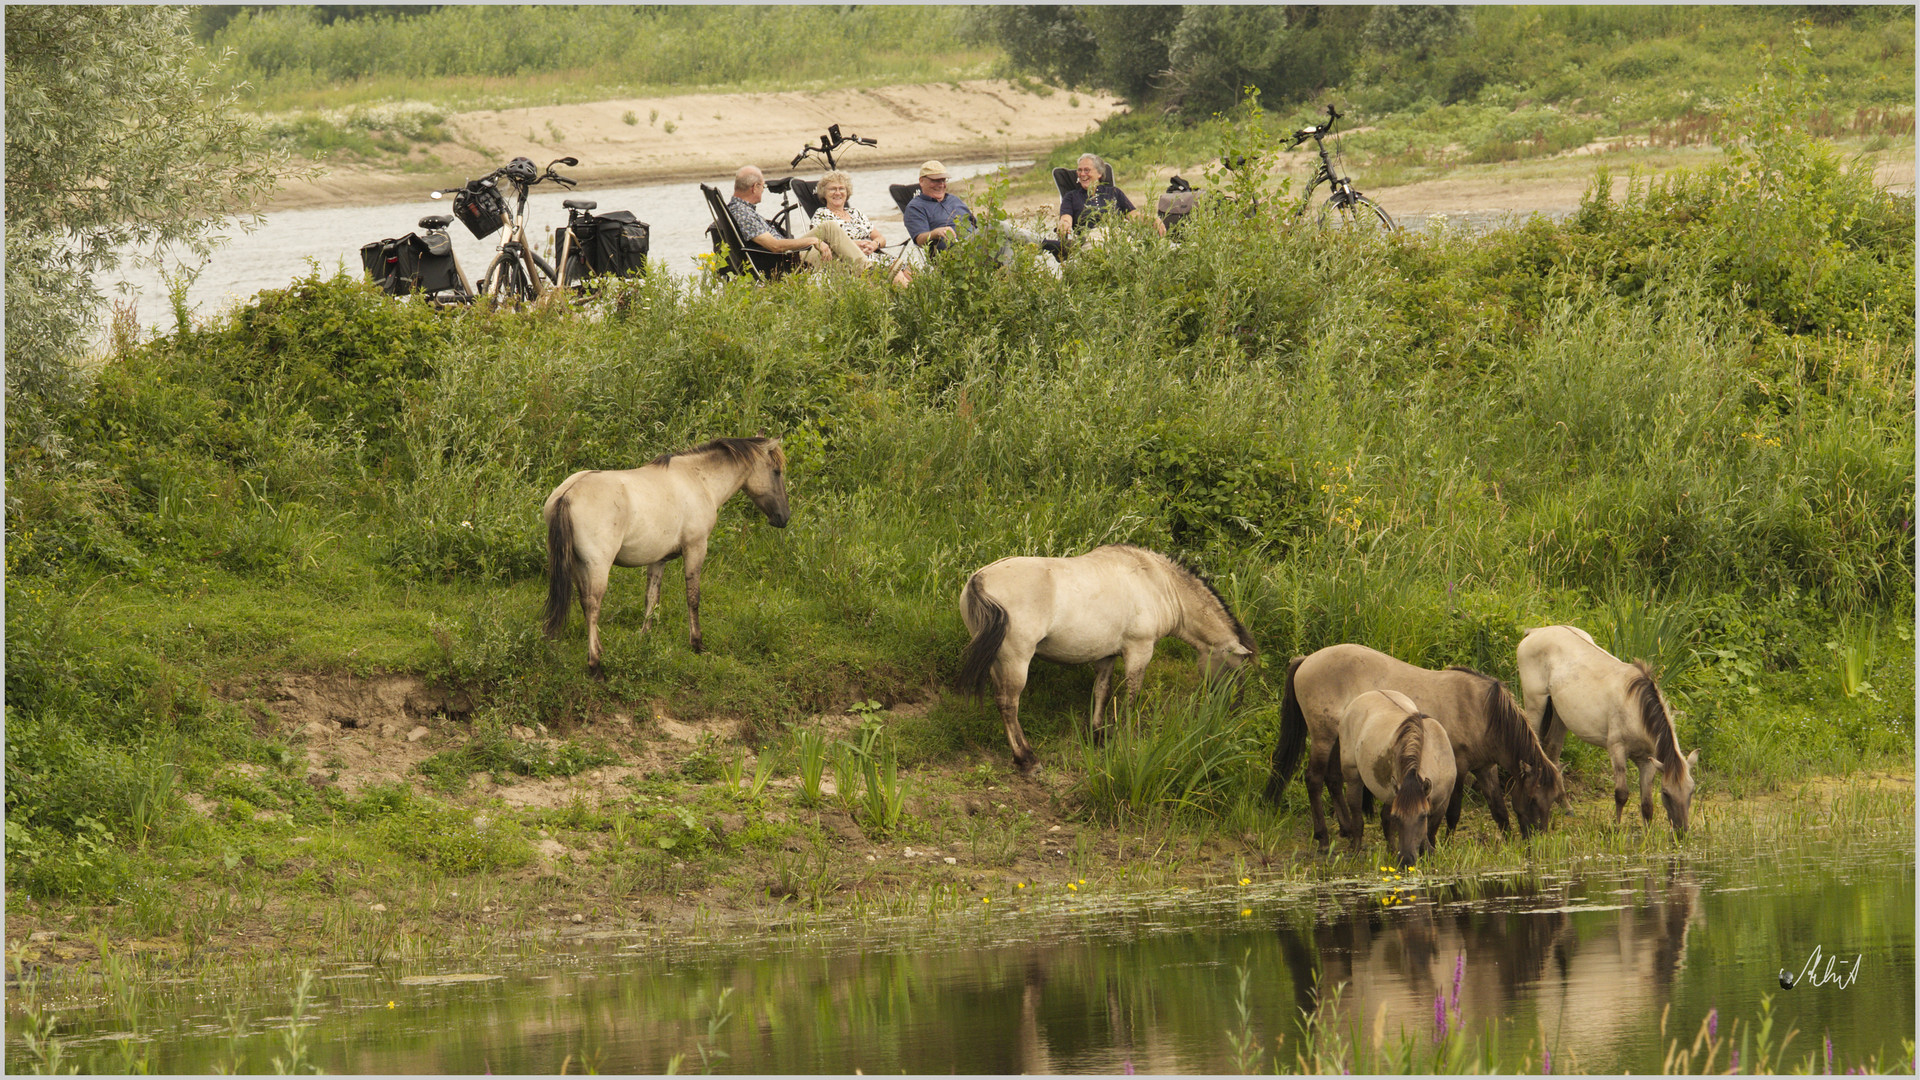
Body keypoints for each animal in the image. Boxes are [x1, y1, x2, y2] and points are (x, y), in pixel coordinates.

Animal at [541, 430, 787, 672]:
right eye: (776, 471)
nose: (783, 517)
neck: (699, 479)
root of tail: (567, 495)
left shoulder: (658, 559)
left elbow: (651, 598)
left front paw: (645, 638)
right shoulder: (696, 548)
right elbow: (693, 597)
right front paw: (697, 643)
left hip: (577, 564)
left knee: (585, 602)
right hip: (597, 566)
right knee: (593, 604)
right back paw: (595, 664)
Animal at [952, 545, 1251, 764]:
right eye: (1234, 669)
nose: (1233, 707)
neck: (1157, 584)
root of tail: (980, 579)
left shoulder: (1107, 656)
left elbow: (1102, 691)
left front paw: (1097, 733)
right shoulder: (1139, 651)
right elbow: (1131, 697)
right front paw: (1125, 737)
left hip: (997, 660)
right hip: (1016, 661)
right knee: (1008, 704)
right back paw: (1026, 758)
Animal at [1267, 638, 1566, 841]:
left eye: (1552, 800)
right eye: (1533, 798)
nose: (1537, 837)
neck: (1483, 710)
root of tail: (1306, 660)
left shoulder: (1485, 767)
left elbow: (1498, 808)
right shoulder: (1460, 767)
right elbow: (1454, 811)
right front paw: (1447, 842)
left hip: (1340, 741)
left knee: (1333, 779)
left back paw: (1346, 828)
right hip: (1323, 737)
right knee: (1314, 780)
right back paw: (1322, 836)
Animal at [1336, 687, 1451, 864]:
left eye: (1422, 816)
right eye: (1397, 817)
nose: (1406, 860)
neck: (1436, 754)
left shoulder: (1443, 803)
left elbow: (1430, 832)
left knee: (1383, 818)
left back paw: (1391, 851)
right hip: (1353, 778)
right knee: (1356, 815)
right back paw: (1356, 850)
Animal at [1512, 622, 1697, 834]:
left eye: (1691, 790)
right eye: (1666, 793)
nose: (1682, 831)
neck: (1635, 706)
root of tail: (1535, 632)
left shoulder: (1648, 760)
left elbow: (1647, 803)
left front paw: (1648, 833)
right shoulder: (1617, 749)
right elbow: (1621, 794)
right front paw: (1616, 828)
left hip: (1559, 714)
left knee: (1552, 751)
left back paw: (1566, 806)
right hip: (1535, 705)